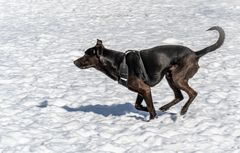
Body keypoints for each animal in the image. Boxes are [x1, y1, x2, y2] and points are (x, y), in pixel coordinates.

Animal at [73, 26, 225, 119]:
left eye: (86, 55)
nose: (74, 62)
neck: (119, 62)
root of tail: (195, 53)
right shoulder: (142, 90)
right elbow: (139, 105)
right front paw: (150, 110)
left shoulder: (145, 89)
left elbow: (150, 108)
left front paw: (152, 118)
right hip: (170, 76)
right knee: (179, 96)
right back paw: (164, 107)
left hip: (177, 78)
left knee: (192, 93)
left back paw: (183, 110)